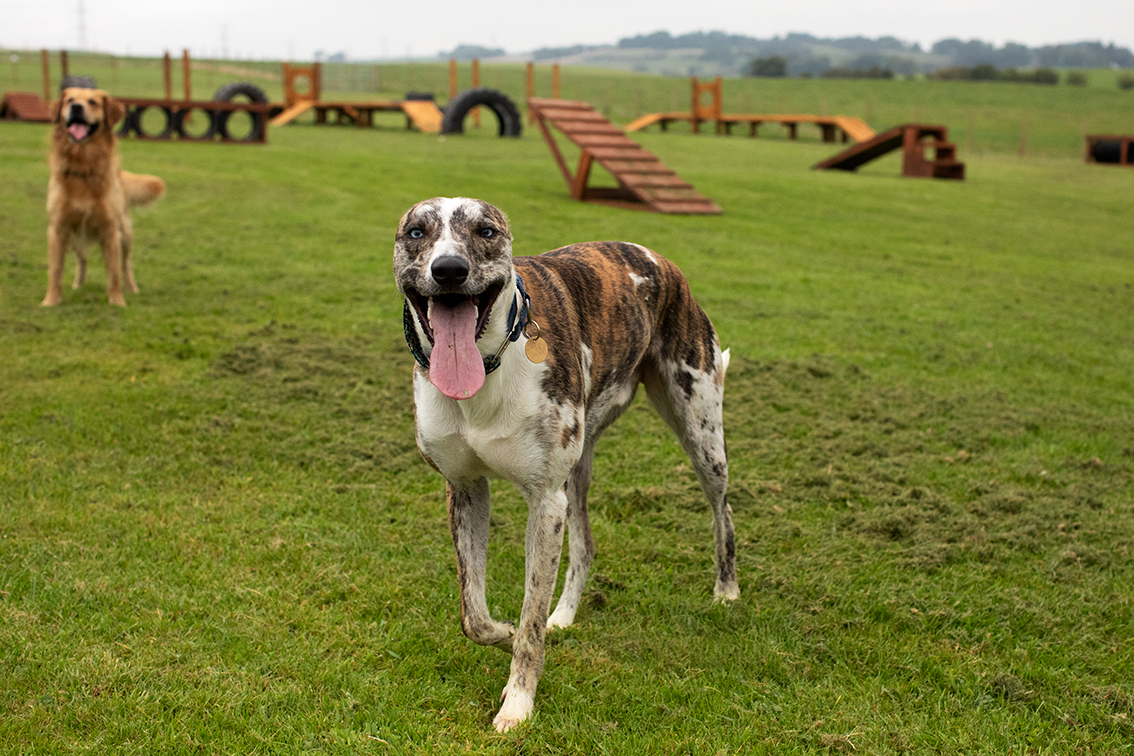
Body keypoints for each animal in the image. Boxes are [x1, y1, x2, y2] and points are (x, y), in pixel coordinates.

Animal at [394, 198, 739, 729]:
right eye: (416, 231)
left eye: (487, 231)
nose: (449, 269)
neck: (490, 368)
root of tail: (661, 260)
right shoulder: (466, 488)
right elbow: (474, 615)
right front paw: (505, 631)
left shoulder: (544, 502)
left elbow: (530, 614)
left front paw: (518, 702)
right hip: (578, 471)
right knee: (586, 546)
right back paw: (566, 615)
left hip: (701, 434)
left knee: (723, 508)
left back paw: (727, 590)